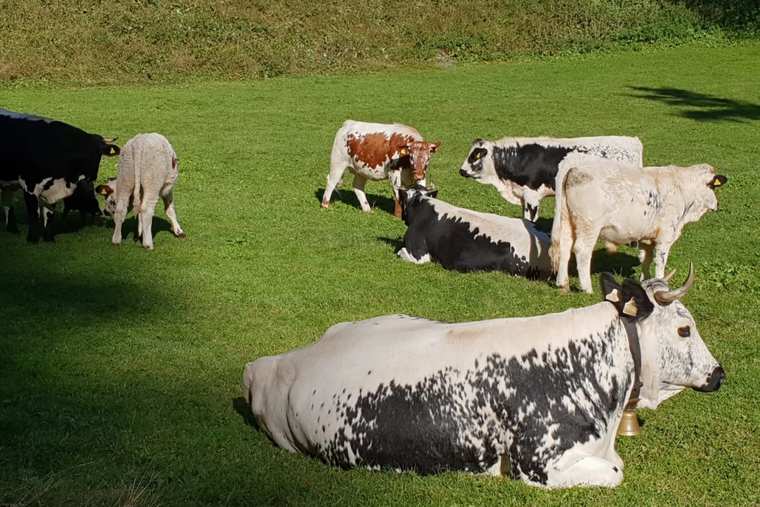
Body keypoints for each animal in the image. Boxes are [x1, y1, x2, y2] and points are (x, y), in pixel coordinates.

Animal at [0, 108, 119, 242]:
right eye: (85, 154)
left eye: (99, 153)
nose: (92, 176)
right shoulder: (29, 187)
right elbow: (34, 215)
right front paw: (32, 239)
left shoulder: (53, 189)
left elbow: (49, 215)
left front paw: (48, 239)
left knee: (7, 202)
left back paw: (12, 229)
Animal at [550, 153, 728, 293]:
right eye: (713, 186)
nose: (718, 204)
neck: (681, 189)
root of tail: (575, 168)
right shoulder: (665, 236)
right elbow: (660, 262)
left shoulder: (647, 237)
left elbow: (646, 260)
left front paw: (645, 282)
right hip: (589, 226)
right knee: (582, 251)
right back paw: (587, 288)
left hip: (567, 221)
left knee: (565, 247)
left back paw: (562, 283)